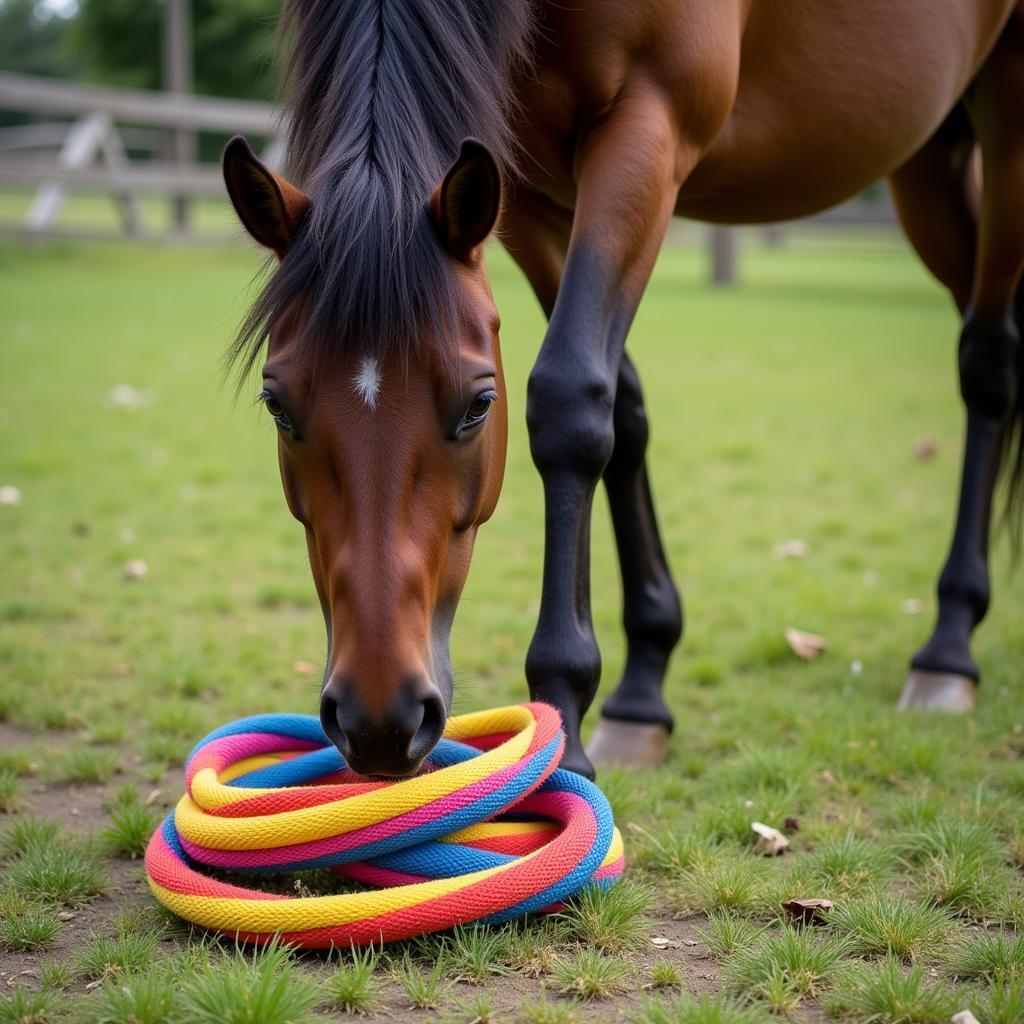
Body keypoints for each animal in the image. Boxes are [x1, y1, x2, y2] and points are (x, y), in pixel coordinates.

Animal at [222, 0, 1024, 778]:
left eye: (480, 405)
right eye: (278, 407)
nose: (380, 720)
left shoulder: (648, 127)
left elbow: (570, 397)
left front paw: (565, 723)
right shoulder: (526, 190)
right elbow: (621, 408)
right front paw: (642, 690)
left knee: (988, 362)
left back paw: (950, 647)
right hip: (931, 158)